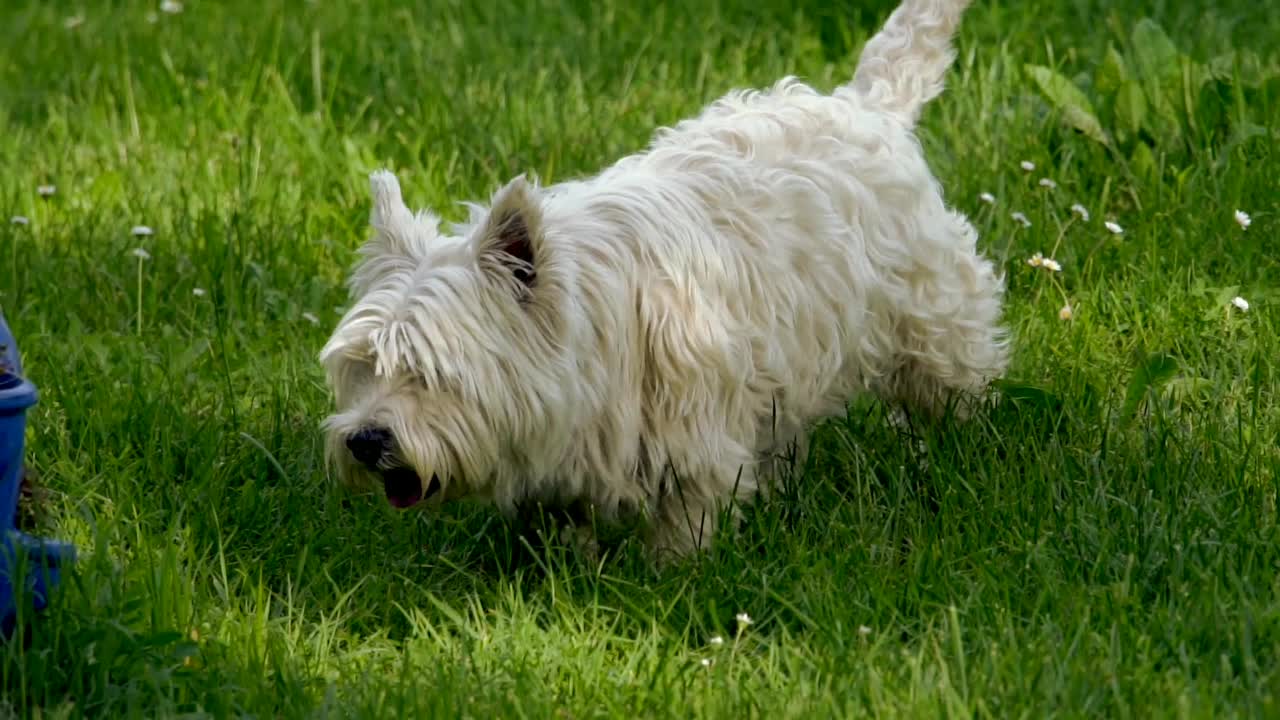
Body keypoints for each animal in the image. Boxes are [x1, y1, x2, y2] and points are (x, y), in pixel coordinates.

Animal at [314, 0, 1003, 556]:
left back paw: (967, 453)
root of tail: (864, 106)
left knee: (958, 381)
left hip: (931, 317)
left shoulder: (693, 438)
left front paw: (673, 577)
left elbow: (686, 521)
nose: (364, 440)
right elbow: (562, 527)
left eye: (429, 372)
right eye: (363, 366)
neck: (590, 327)